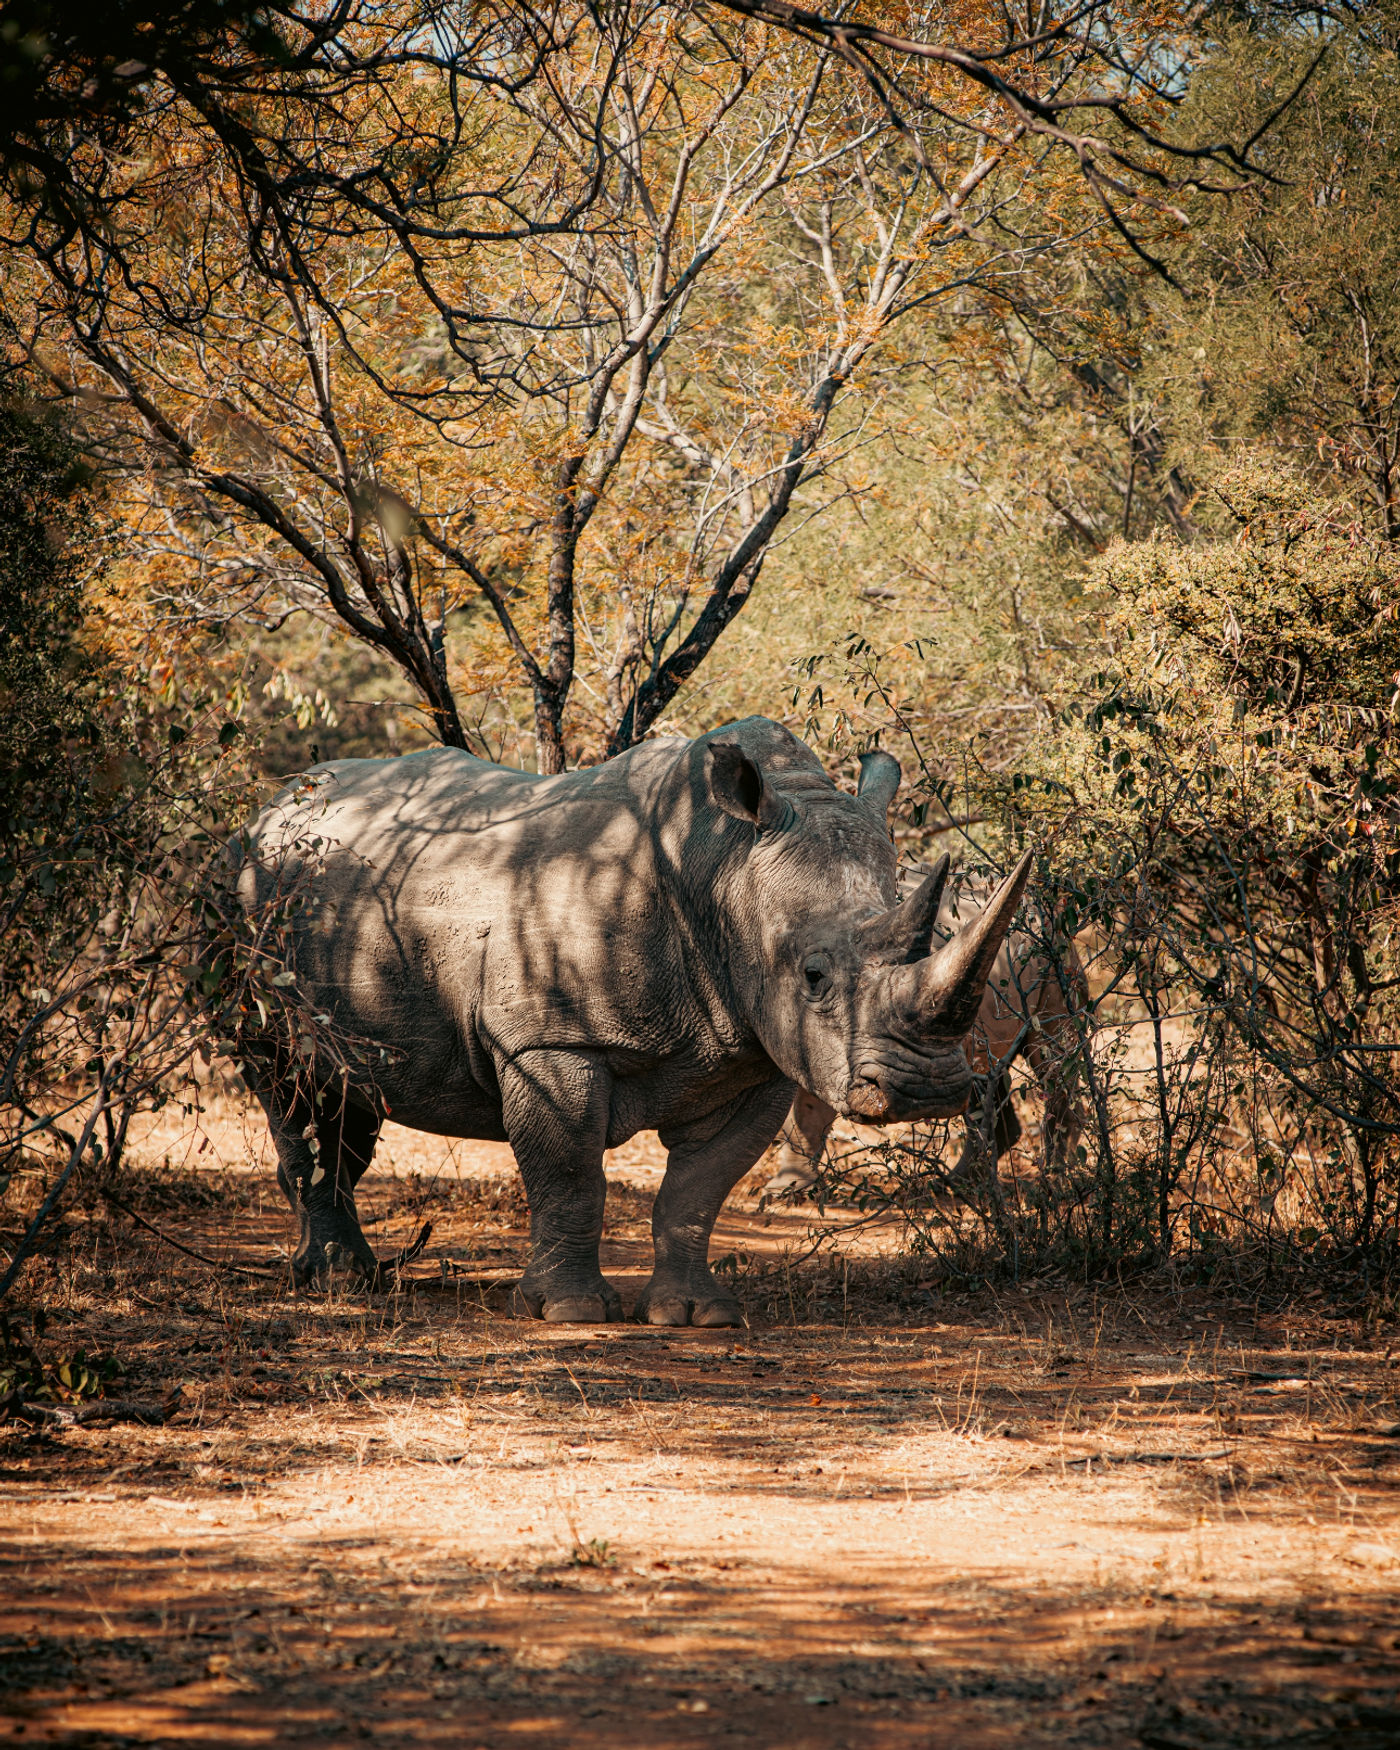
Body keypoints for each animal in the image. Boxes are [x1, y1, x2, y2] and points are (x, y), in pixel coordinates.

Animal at [234, 718, 1030, 1325]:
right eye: (813, 976)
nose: (928, 1092)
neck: (723, 863)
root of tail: (263, 812)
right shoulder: (548, 1038)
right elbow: (571, 1174)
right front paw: (569, 1313)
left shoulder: (756, 1048)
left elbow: (697, 1190)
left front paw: (697, 1315)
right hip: (242, 905)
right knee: (286, 1081)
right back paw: (337, 1279)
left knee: (350, 1096)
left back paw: (343, 1272)